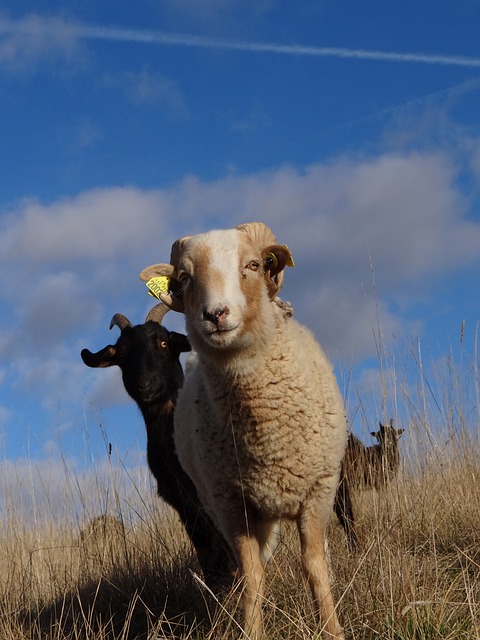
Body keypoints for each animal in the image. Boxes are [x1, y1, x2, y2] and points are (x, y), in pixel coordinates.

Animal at [141, 222, 346, 636]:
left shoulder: (318, 491)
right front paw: (252, 631)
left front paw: (332, 630)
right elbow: (253, 575)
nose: (216, 314)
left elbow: (315, 567)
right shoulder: (232, 506)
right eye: (184, 278)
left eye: (253, 264)